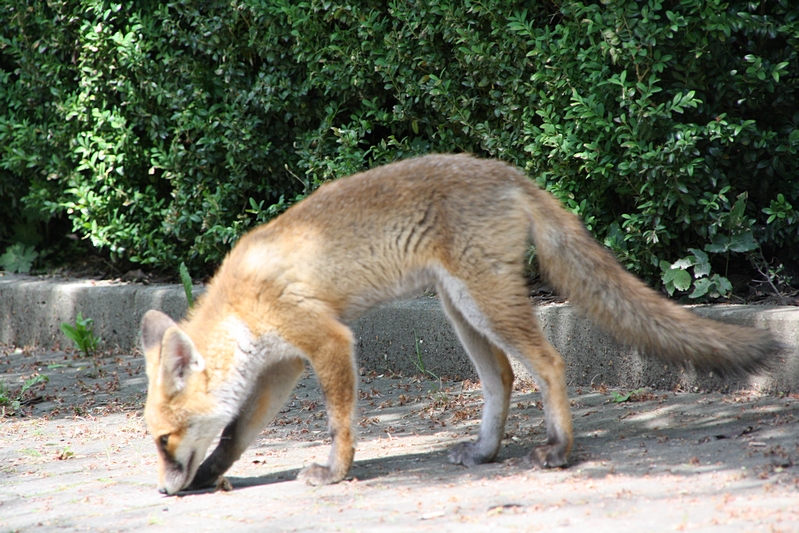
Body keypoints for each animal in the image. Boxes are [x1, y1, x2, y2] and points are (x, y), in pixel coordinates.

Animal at [141, 152, 780, 492]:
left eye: (163, 440)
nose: (166, 491)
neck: (241, 307)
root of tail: (507, 173)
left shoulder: (329, 342)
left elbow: (339, 423)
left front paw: (337, 472)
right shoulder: (284, 365)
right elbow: (236, 433)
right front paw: (211, 477)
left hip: (485, 303)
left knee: (549, 363)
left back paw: (561, 451)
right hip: (461, 311)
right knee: (503, 377)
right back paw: (486, 453)